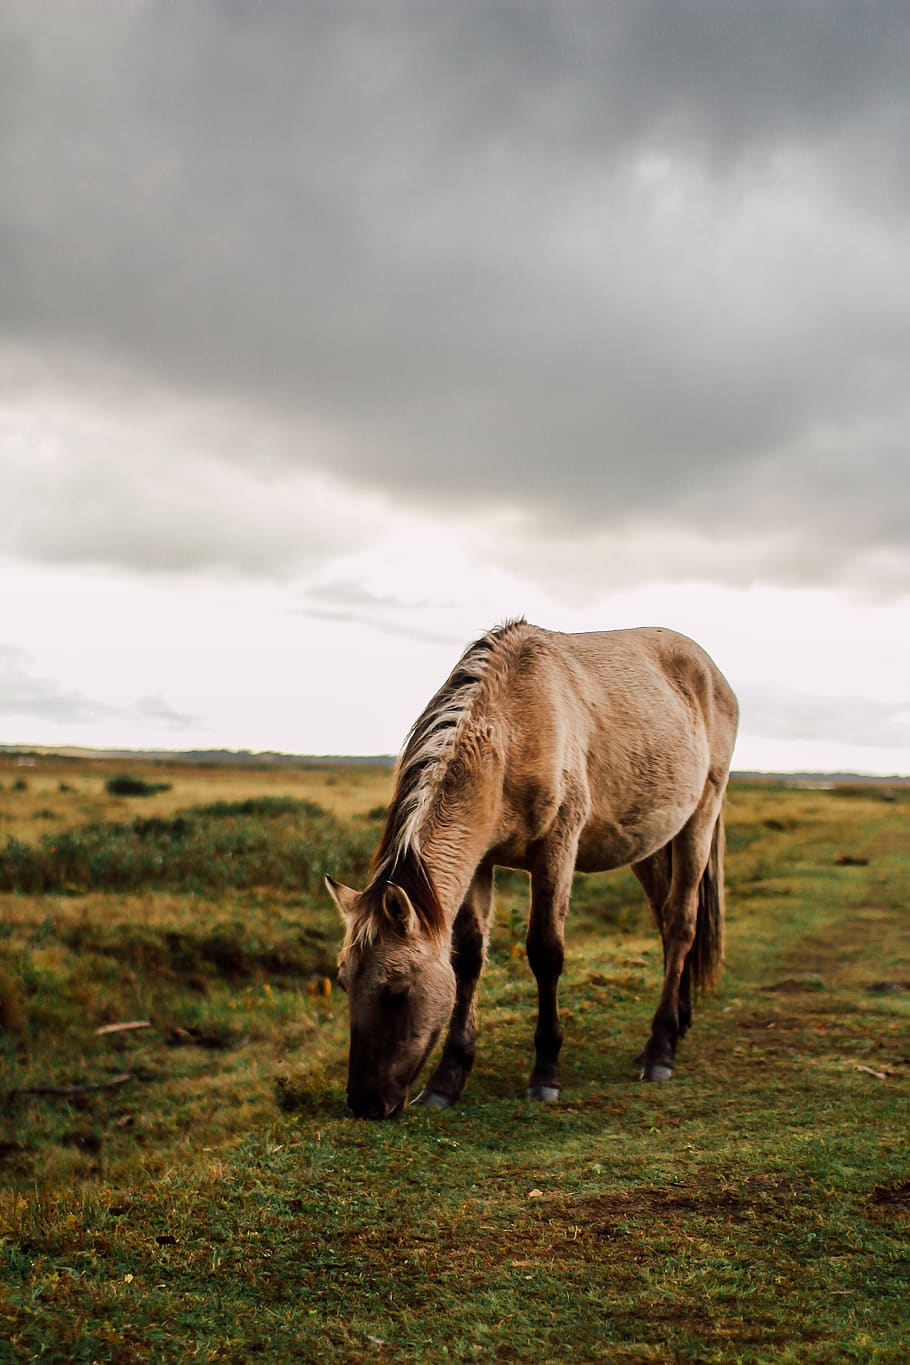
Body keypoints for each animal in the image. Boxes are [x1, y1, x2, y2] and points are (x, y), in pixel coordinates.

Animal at [326, 619, 738, 1119]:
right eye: (344, 982)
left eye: (397, 990)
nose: (364, 1103)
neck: (512, 730)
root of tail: (711, 672)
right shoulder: (479, 862)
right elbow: (468, 958)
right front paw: (447, 1080)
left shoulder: (557, 849)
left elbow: (545, 952)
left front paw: (545, 1073)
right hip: (650, 844)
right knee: (665, 920)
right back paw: (676, 1025)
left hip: (700, 819)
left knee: (680, 923)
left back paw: (660, 1049)